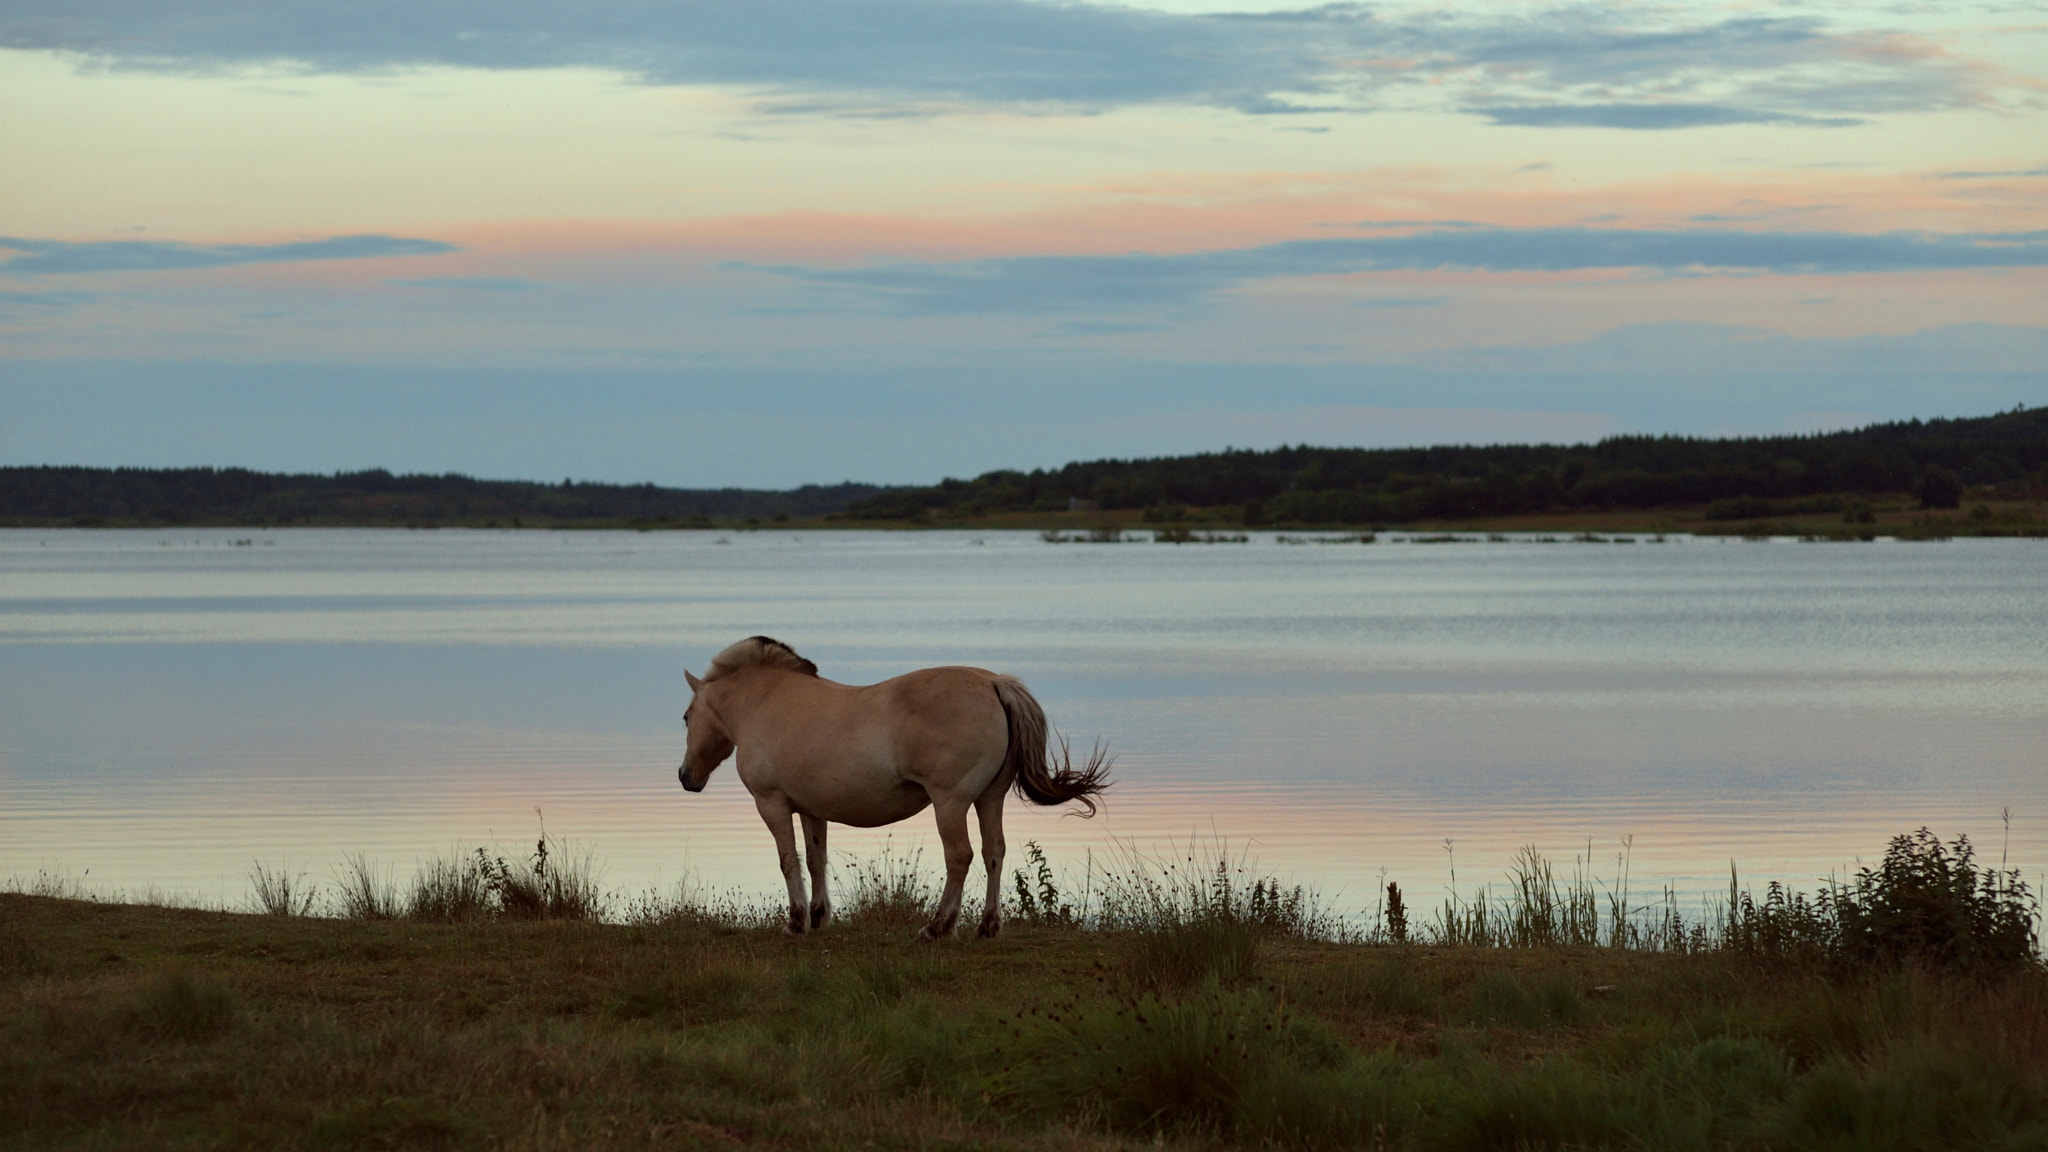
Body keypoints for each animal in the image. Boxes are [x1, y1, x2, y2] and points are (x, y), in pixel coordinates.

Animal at [679, 631, 1114, 938]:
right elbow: (816, 859)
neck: (763, 701)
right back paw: (987, 927)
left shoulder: (771, 803)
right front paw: (818, 916)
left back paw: (937, 928)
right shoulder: (810, 809)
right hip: (990, 799)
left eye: (685, 717)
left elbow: (789, 861)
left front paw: (796, 922)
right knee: (995, 853)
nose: (685, 776)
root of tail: (993, 683)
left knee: (960, 856)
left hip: (950, 803)